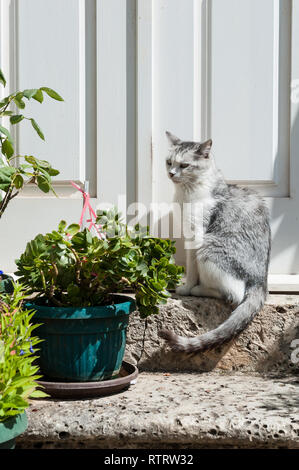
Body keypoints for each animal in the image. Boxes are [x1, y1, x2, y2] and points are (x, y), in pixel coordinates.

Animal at [161, 131, 274, 352]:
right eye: (169, 162)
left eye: (184, 165)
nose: (171, 174)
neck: (186, 193)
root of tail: (261, 281)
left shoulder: (195, 236)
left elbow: (191, 268)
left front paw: (186, 288)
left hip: (209, 248)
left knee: (234, 295)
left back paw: (197, 290)